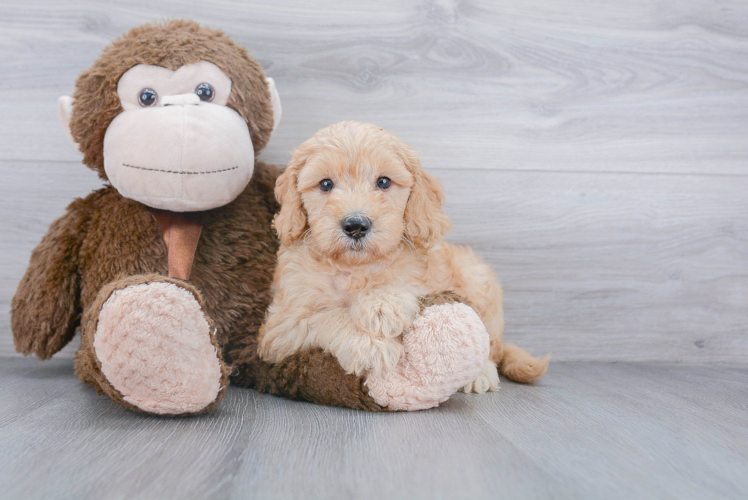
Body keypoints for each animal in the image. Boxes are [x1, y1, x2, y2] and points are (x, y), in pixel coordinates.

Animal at [258, 120, 548, 390]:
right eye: (325, 184)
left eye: (384, 181)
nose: (356, 225)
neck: (355, 266)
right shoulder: (279, 328)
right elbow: (325, 317)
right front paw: (370, 343)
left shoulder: (424, 277)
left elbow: (399, 284)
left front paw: (382, 303)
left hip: (477, 278)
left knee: (490, 342)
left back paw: (481, 374)